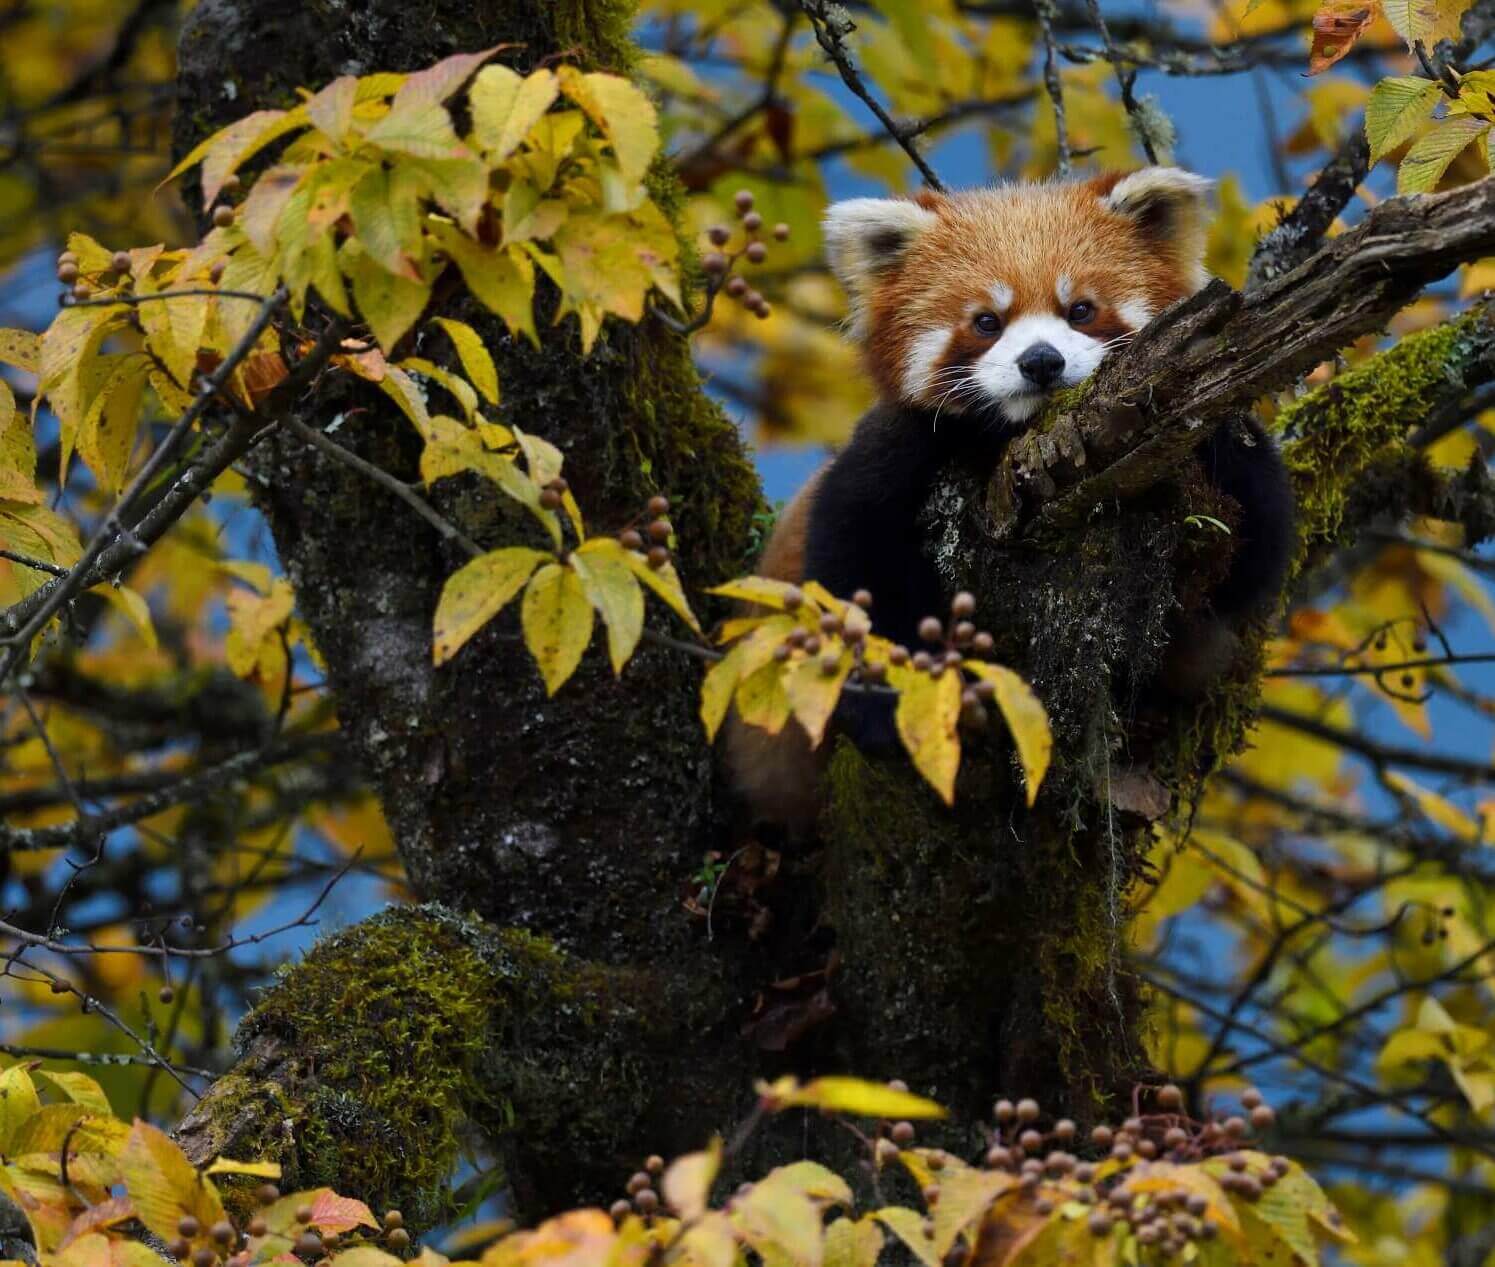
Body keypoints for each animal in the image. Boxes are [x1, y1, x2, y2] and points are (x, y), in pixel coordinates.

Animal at [723, 171, 1297, 843]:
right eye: (986, 321)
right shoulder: (888, 457)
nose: (1041, 361)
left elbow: (1252, 555)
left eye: (1080, 309)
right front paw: (887, 708)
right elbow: (852, 569)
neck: (1012, 439)